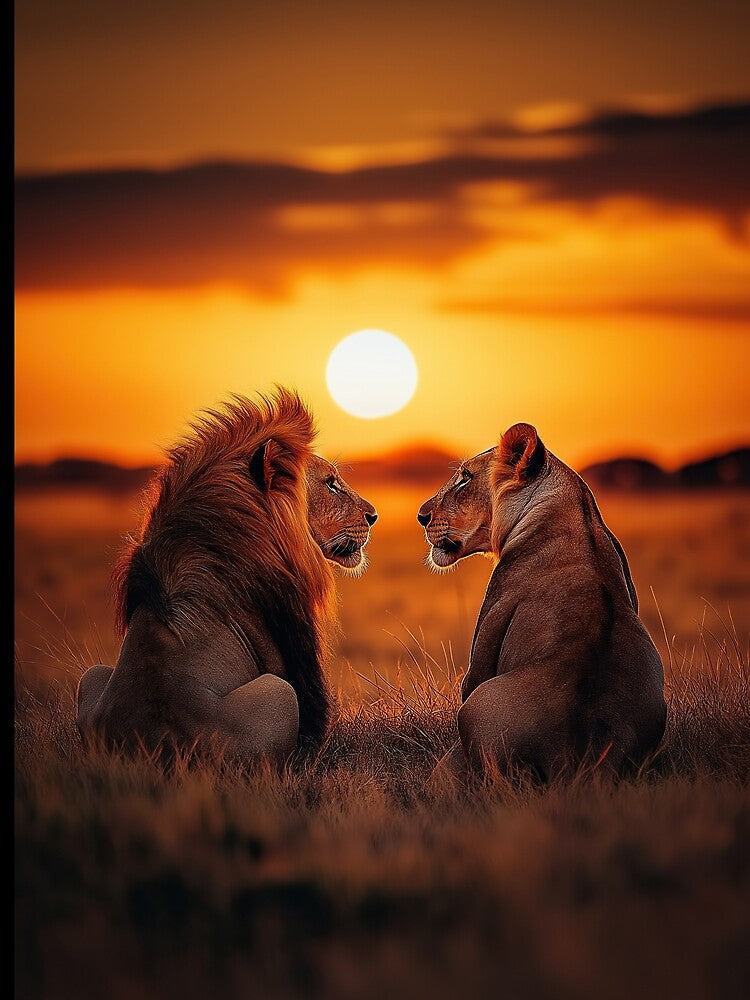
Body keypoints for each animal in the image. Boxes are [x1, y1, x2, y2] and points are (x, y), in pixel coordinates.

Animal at [76, 389, 377, 766]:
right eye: (331, 484)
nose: (374, 515)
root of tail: (157, 750)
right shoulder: (295, 646)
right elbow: (317, 721)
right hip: (279, 691)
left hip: (91, 675)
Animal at [418, 422, 667, 781]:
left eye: (465, 477)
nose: (421, 516)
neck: (577, 511)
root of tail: (579, 759)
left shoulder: (489, 629)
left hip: (477, 706)